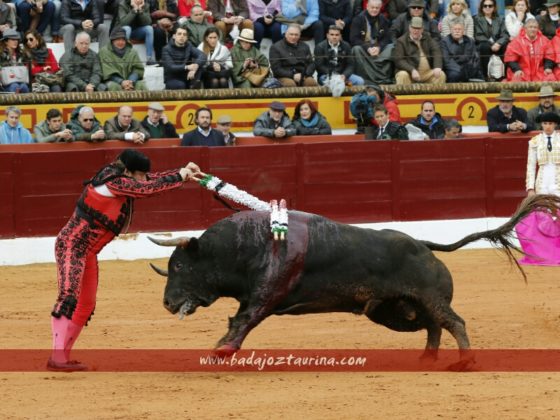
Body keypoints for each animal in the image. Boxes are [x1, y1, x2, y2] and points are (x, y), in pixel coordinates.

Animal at [150, 197, 560, 364]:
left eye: (180, 267)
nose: (167, 303)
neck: (241, 247)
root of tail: (424, 245)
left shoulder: (266, 294)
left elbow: (244, 320)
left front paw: (220, 351)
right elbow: (240, 318)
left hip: (426, 298)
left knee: (453, 321)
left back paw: (464, 361)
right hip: (393, 311)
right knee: (432, 325)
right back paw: (427, 357)